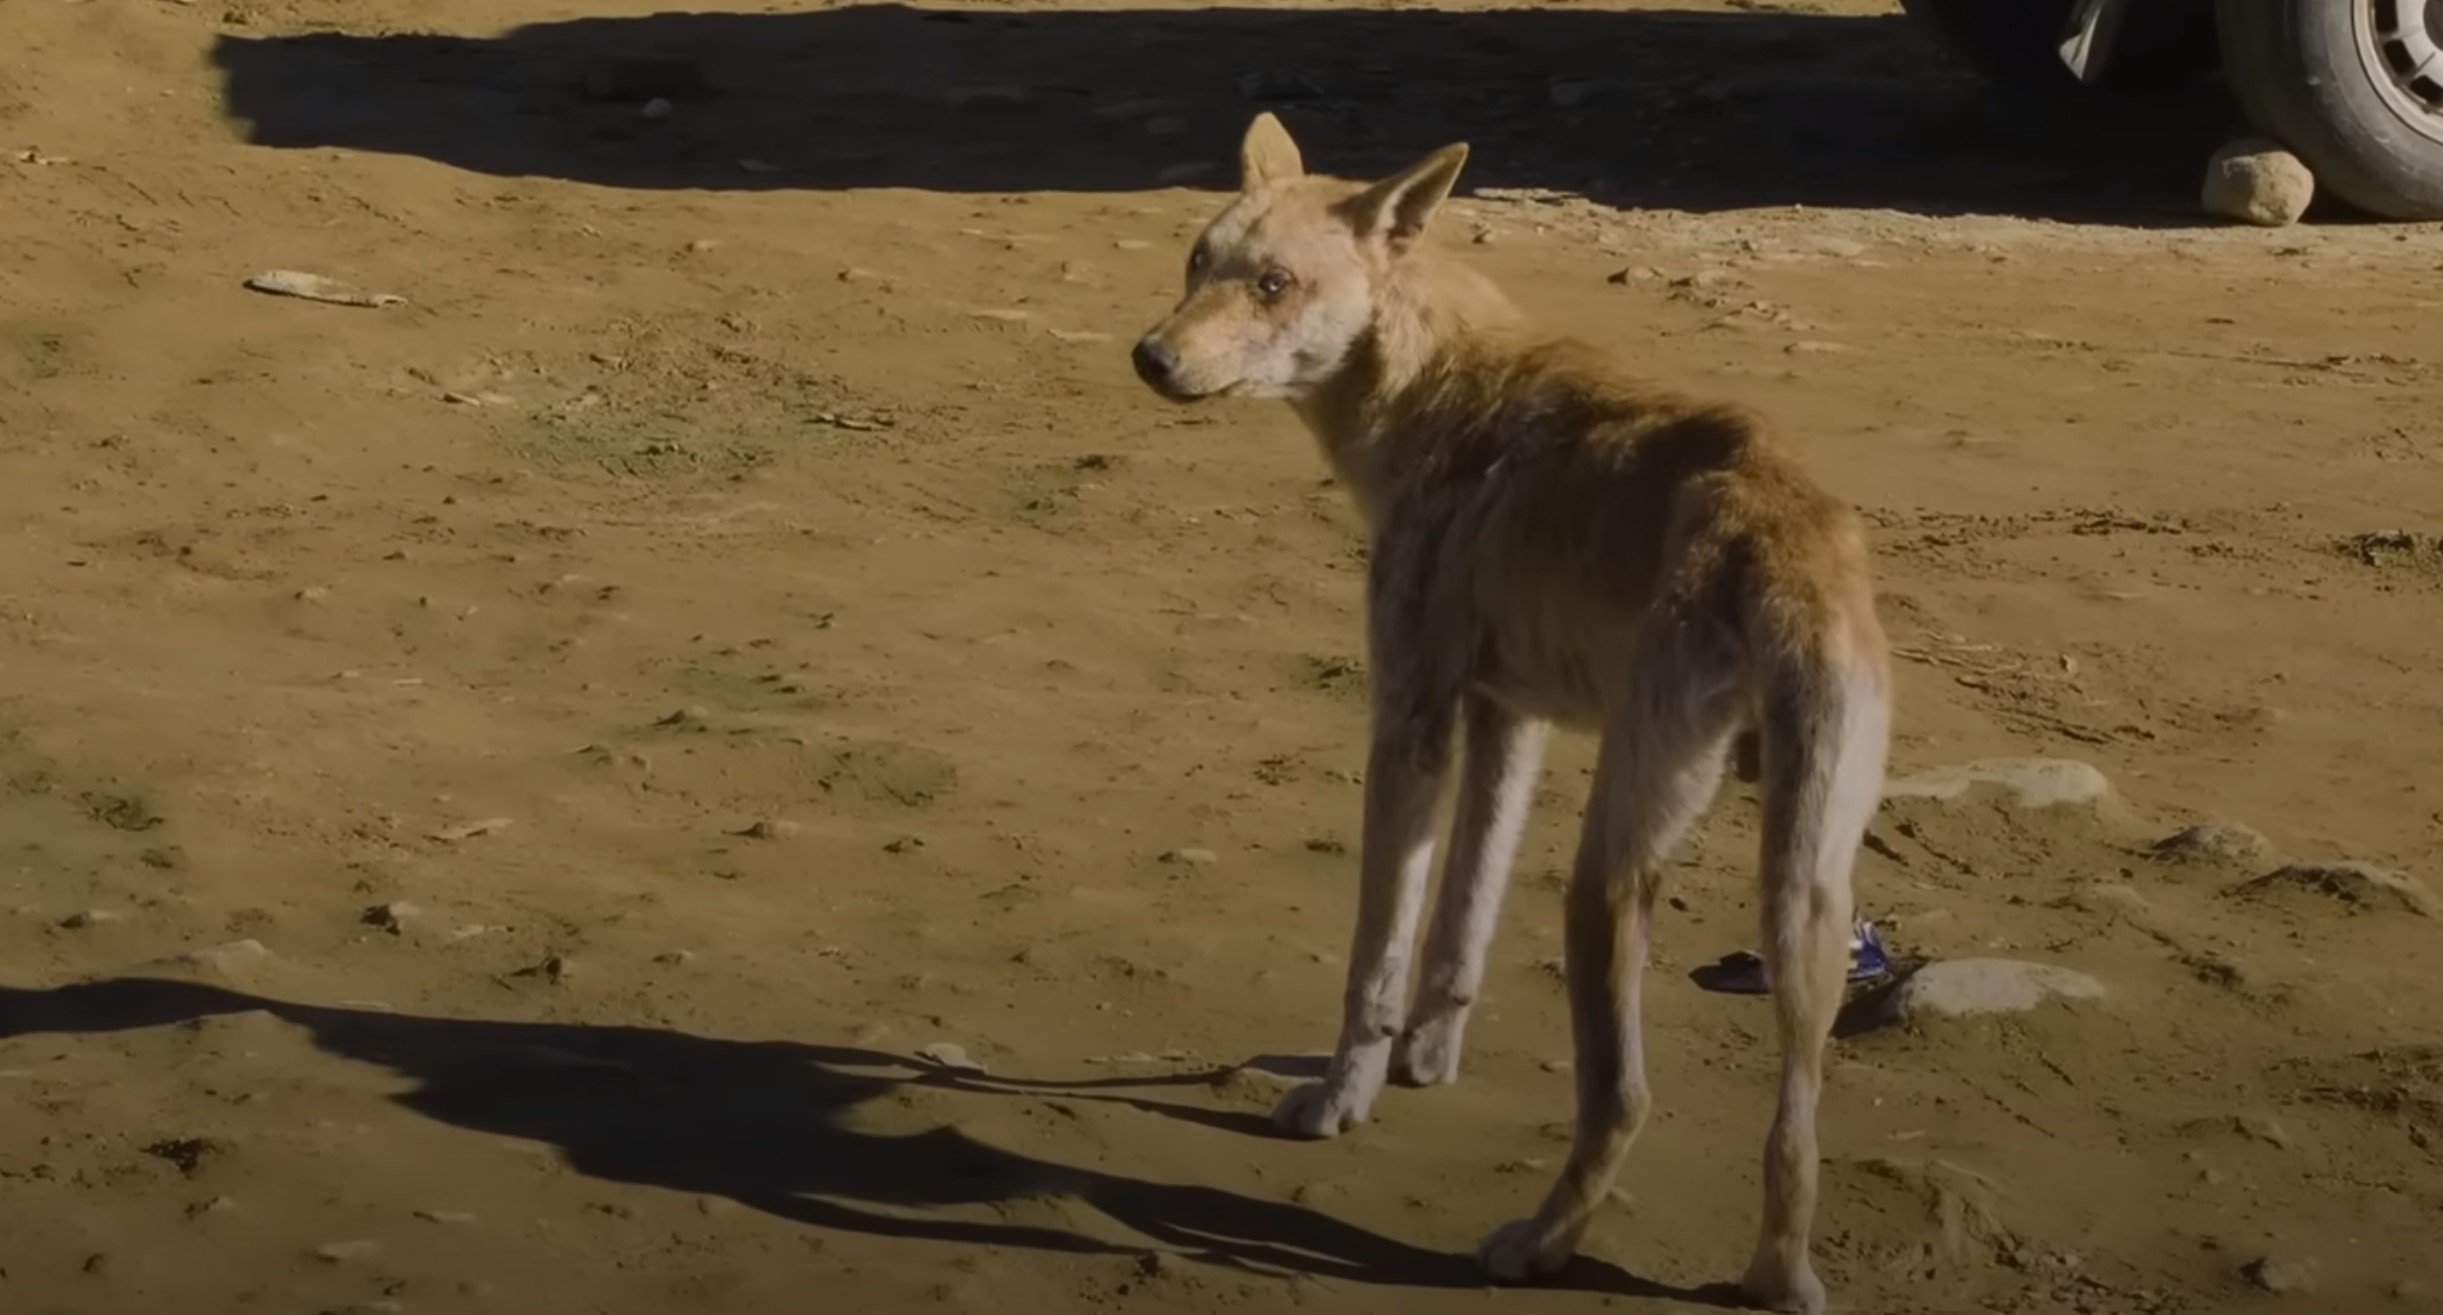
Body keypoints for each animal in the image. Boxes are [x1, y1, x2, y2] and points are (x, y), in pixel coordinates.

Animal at [1133, 114, 1895, 1310]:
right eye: (1195, 262)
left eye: (1273, 283)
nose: (1149, 358)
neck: (1440, 387)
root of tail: (1780, 533)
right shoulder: (1508, 722)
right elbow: (1459, 932)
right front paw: (1425, 1063)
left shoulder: (1411, 720)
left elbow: (1375, 955)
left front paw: (1341, 1099)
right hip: (1807, 901)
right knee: (1793, 1130)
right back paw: (1776, 1275)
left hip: (1605, 878)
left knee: (1623, 1098)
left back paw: (1536, 1245)